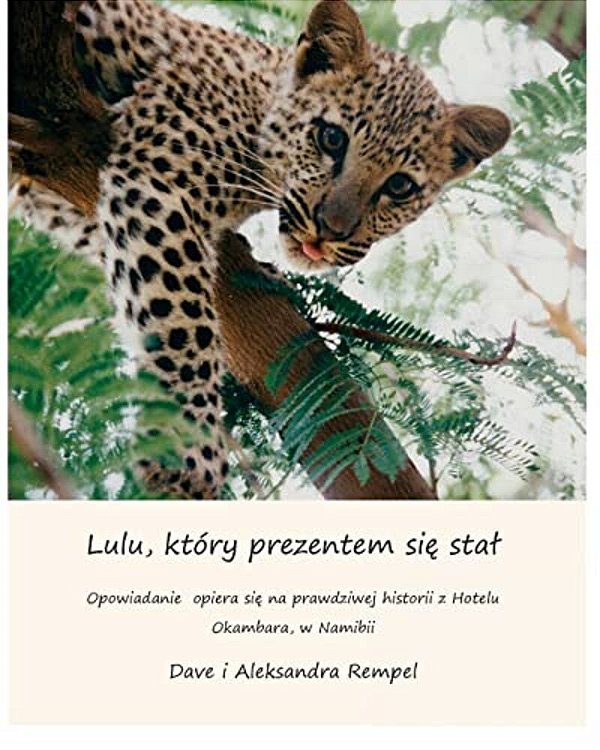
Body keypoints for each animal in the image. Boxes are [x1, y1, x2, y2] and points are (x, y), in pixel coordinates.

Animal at [11, 0, 511, 499]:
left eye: (400, 186)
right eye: (332, 138)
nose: (330, 230)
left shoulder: (55, 185)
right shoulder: (156, 179)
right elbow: (182, 317)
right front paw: (189, 447)